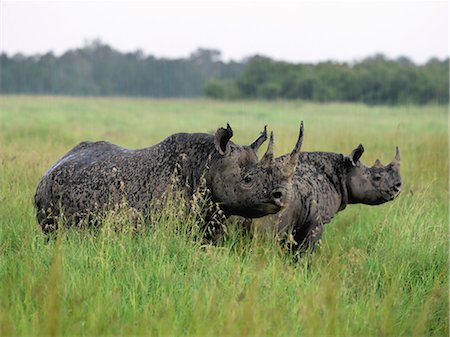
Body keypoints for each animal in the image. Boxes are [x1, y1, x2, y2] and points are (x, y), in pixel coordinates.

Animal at [33, 122, 304, 235]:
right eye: (247, 179)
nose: (283, 196)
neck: (209, 164)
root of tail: (54, 164)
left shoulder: (211, 219)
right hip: (48, 194)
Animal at [251, 143, 402, 251]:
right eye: (377, 177)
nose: (398, 187)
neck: (343, 172)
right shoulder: (316, 220)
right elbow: (304, 251)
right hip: (267, 205)